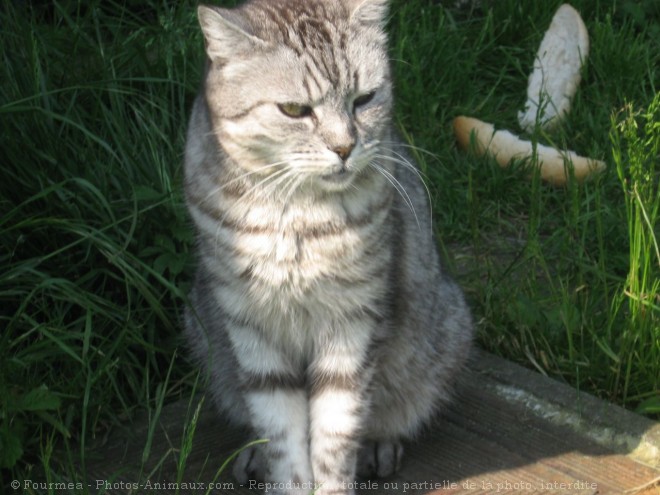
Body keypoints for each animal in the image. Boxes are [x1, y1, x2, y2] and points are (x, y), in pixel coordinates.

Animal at [183, 0, 474, 494]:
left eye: (364, 99)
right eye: (293, 109)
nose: (344, 147)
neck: (296, 216)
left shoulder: (352, 322)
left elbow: (336, 435)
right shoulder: (251, 324)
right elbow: (282, 436)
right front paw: (283, 476)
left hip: (443, 331)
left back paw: (379, 445)